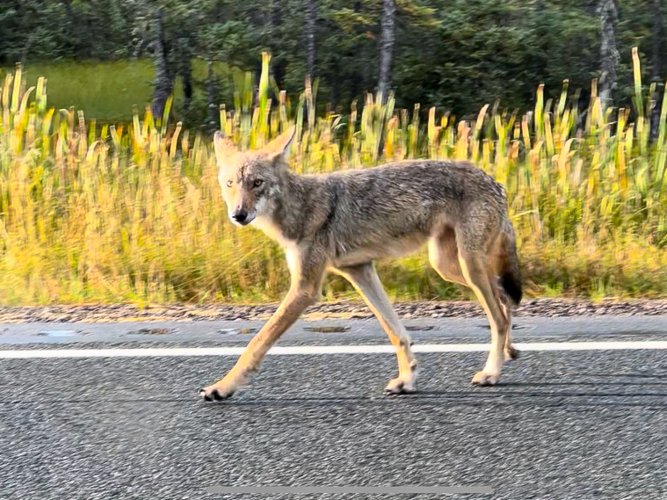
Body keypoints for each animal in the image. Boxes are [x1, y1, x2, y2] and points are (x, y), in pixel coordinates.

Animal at [200, 127, 522, 401]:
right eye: (230, 183)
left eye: (257, 183)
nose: (238, 215)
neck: (301, 208)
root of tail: (497, 182)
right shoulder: (360, 270)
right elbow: (396, 332)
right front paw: (406, 380)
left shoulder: (306, 289)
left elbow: (257, 343)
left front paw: (222, 387)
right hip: (447, 266)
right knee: (504, 298)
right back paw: (510, 352)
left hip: (466, 265)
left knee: (499, 315)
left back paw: (491, 372)